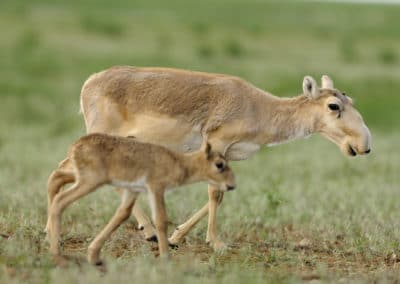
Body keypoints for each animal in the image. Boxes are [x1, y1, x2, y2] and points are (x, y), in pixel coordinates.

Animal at [79, 66, 372, 251]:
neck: (258, 107)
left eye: (351, 100)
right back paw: (149, 231)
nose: (365, 145)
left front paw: (176, 236)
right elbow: (214, 192)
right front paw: (216, 243)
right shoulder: (217, 144)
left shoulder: (227, 155)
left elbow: (220, 194)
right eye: (333, 106)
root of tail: (89, 82)